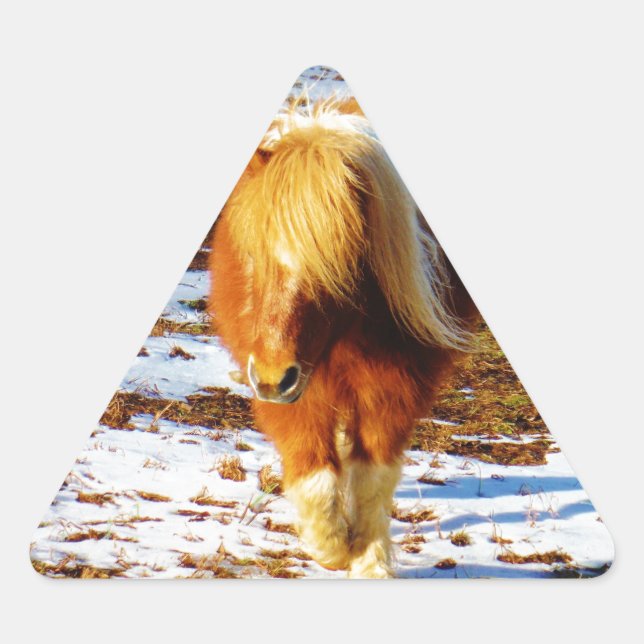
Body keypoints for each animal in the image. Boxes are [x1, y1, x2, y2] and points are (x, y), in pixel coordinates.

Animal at [209, 97, 478, 578]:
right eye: (253, 255)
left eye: (337, 266)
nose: (274, 378)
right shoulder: (291, 391)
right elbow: (314, 473)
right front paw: (331, 547)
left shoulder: (396, 388)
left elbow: (372, 479)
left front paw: (369, 561)